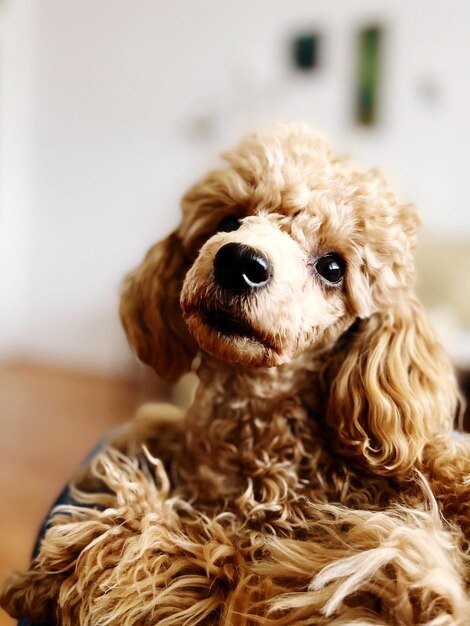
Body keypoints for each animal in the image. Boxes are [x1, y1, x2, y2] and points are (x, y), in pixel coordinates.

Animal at [0, 120, 470, 620]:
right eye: (228, 222)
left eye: (333, 268)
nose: (240, 260)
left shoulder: (243, 572)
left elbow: (153, 546)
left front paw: (52, 572)